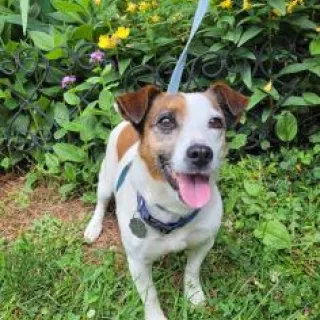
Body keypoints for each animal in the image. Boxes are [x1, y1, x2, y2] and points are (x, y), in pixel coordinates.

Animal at [84, 83, 248, 320]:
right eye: (166, 121)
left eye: (216, 122)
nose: (201, 153)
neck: (174, 210)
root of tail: (126, 125)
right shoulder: (137, 263)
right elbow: (150, 295)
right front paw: (155, 315)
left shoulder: (204, 243)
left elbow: (192, 270)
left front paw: (194, 295)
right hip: (105, 180)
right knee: (101, 203)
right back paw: (93, 227)